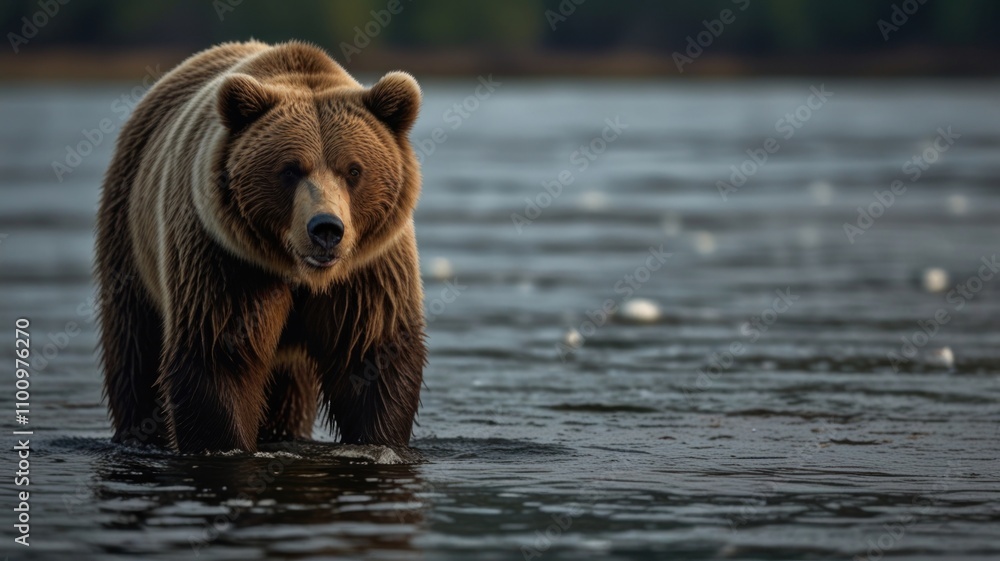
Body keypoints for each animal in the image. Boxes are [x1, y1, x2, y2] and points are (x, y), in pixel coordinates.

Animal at [95, 40, 427, 453]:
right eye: (290, 169)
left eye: (353, 170)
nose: (326, 229)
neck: (301, 274)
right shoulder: (226, 262)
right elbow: (219, 356)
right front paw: (223, 441)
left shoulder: (369, 271)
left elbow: (372, 353)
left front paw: (379, 441)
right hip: (130, 239)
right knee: (134, 349)